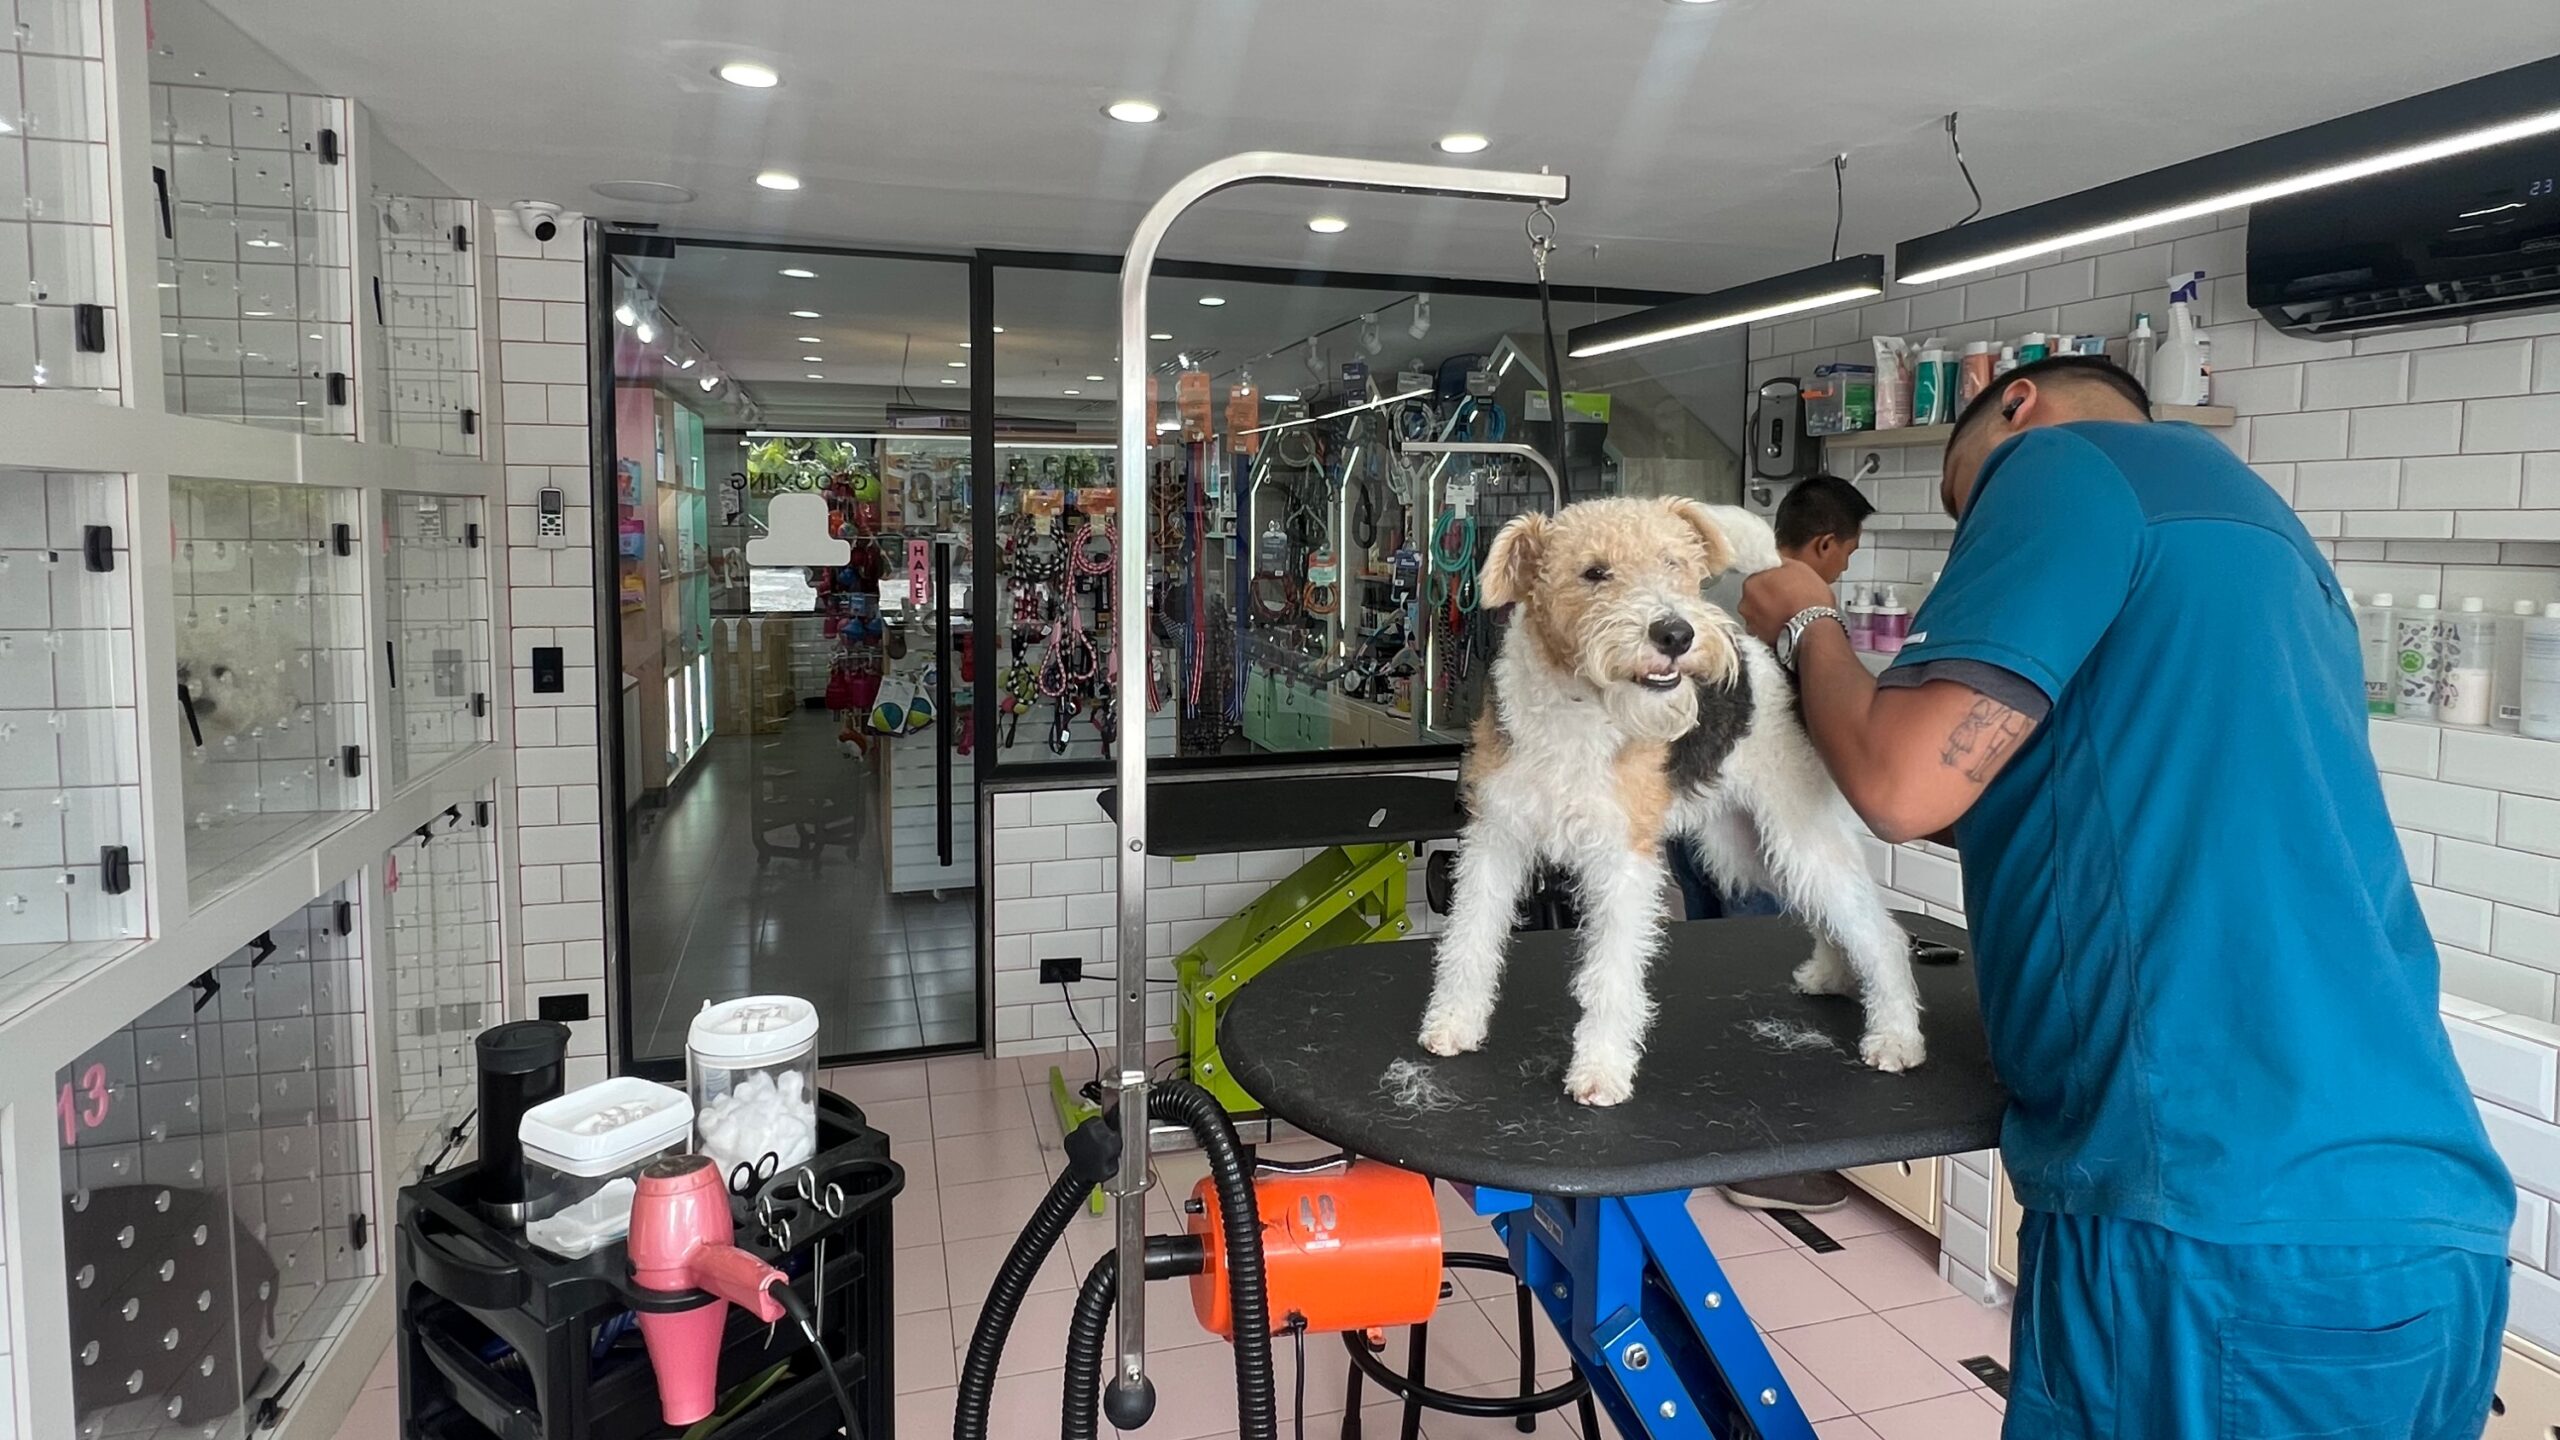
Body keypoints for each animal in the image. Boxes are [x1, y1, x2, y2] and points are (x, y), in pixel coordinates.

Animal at [1423, 491, 1925, 1096]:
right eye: (1594, 572)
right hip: (1751, 852)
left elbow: (1610, 977)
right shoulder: (1495, 838)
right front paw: (1452, 1024)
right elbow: (1468, 941)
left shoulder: (1623, 861)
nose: (1675, 634)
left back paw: (1895, 1037)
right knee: (1834, 915)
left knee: (1881, 931)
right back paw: (1832, 973)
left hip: (1799, 833)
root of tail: (1767, 660)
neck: (1576, 709)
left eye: (1674, 563)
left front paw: (1601, 1070)